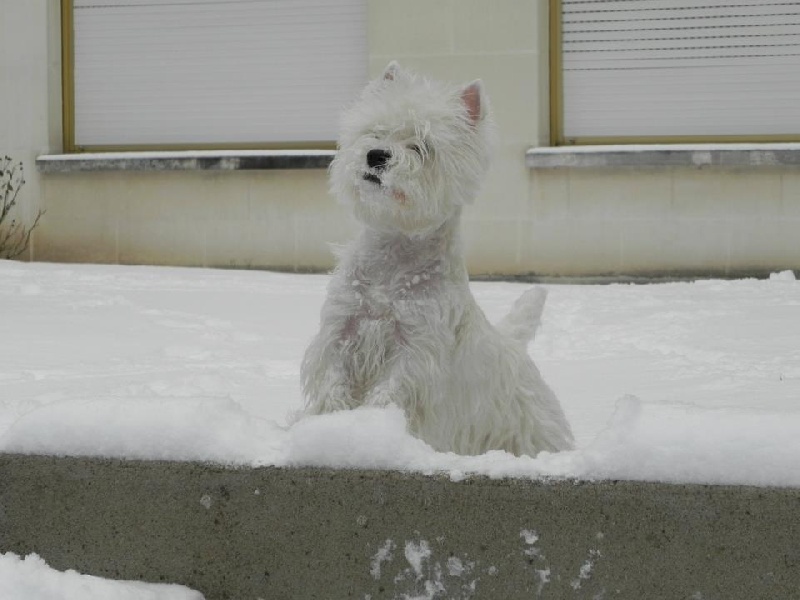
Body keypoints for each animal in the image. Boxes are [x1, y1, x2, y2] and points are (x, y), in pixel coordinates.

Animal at [300, 62, 574, 457]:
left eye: (421, 146)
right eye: (376, 131)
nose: (377, 155)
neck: (393, 257)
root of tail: (514, 346)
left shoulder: (416, 347)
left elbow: (391, 389)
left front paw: (369, 427)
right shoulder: (341, 329)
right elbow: (333, 378)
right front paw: (332, 422)